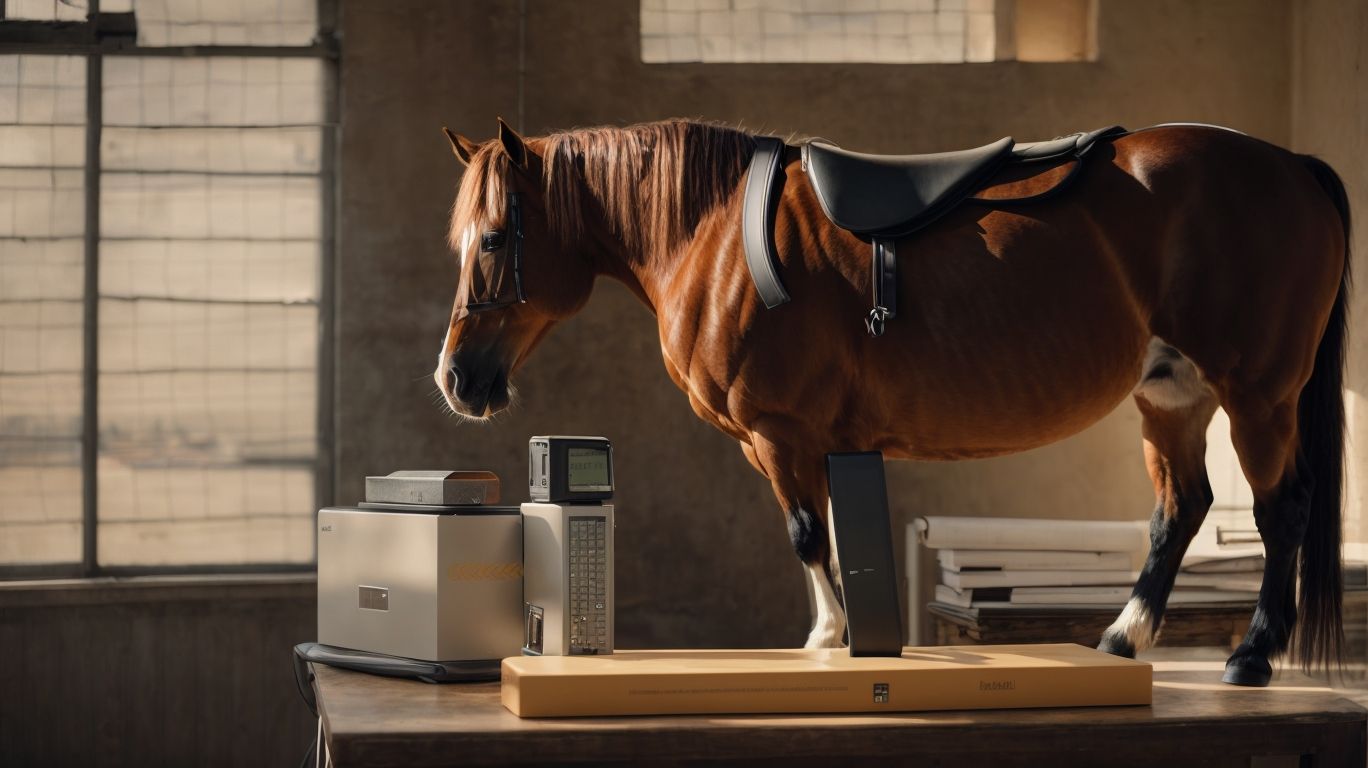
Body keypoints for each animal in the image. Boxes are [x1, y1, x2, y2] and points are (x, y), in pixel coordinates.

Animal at [433, 117, 1350, 687]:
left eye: (493, 239)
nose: (455, 380)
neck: (713, 230)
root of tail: (1293, 166)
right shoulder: (810, 443)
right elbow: (834, 537)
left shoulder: (779, 435)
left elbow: (808, 535)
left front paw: (826, 640)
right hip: (1172, 395)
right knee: (1181, 510)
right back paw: (1123, 637)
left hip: (1258, 394)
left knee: (1281, 510)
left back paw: (1253, 655)